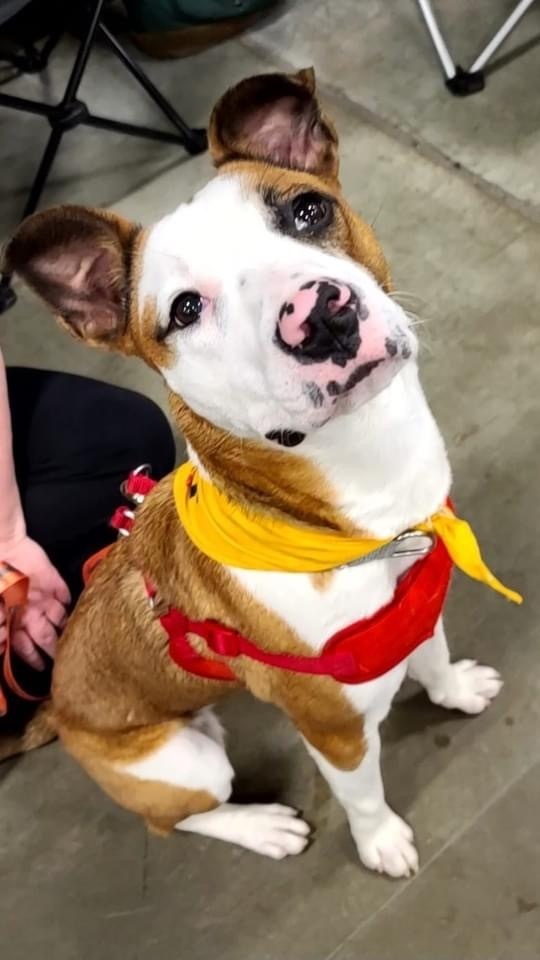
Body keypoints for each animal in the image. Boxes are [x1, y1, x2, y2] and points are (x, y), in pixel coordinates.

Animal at [4, 67, 502, 876]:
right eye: (183, 310)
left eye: (307, 210)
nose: (319, 314)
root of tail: (57, 707)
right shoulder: (331, 727)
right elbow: (364, 793)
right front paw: (382, 843)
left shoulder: (413, 608)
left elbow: (432, 656)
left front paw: (454, 688)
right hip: (187, 762)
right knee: (176, 822)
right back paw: (262, 827)